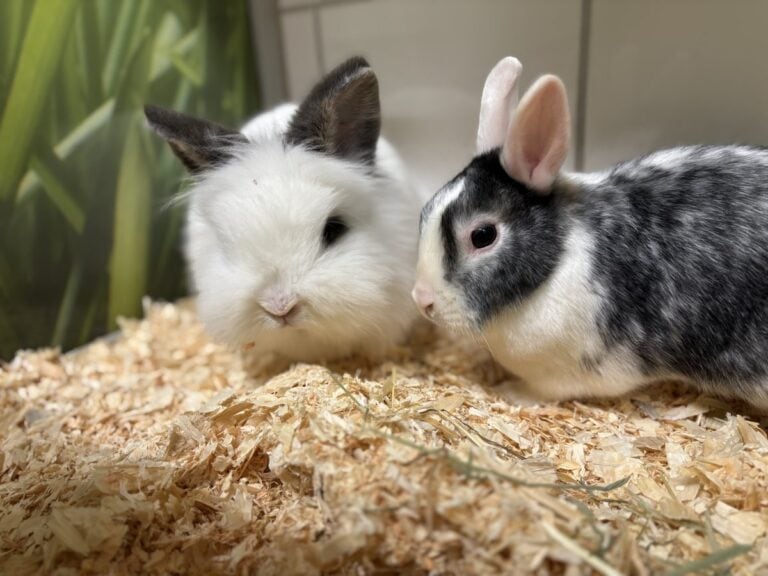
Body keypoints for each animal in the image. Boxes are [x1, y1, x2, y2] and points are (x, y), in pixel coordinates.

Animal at [412, 56, 768, 410]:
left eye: (483, 235)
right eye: (425, 210)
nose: (421, 300)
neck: (556, 260)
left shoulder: (577, 372)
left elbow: (543, 392)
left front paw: (511, 393)